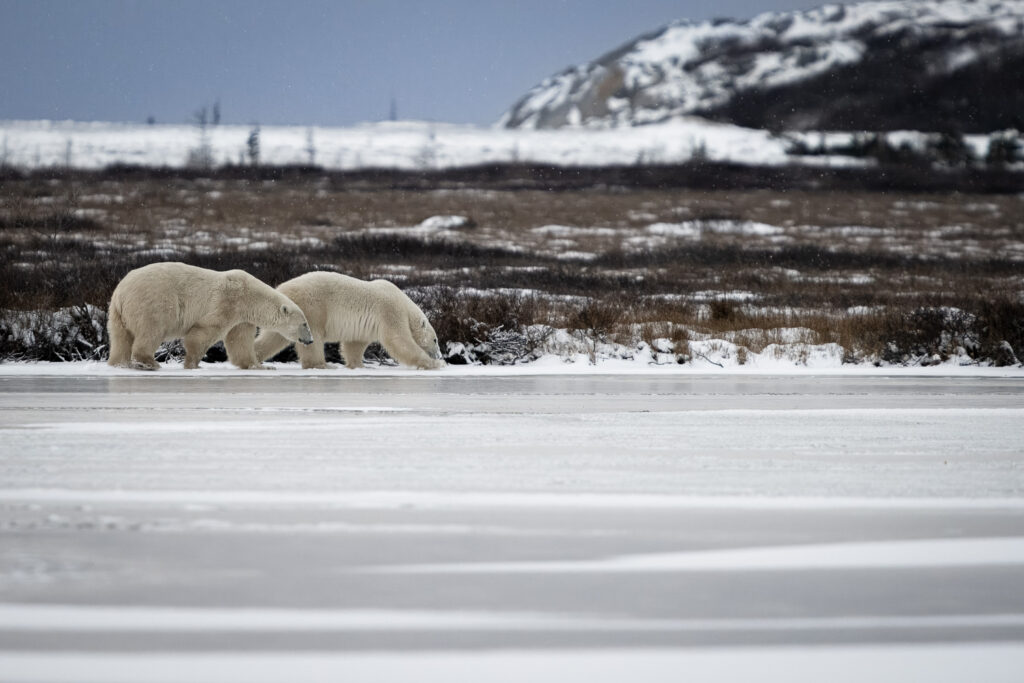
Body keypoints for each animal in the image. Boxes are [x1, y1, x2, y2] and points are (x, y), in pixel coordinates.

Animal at [107, 261, 314, 371]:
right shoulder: (227, 302)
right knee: (151, 330)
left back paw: (119, 363)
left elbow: (240, 341)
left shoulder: (242, 317)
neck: (250, 297)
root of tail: (121, 292)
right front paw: (193, 364)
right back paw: (150, 362)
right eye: (304, 323)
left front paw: (262, 366)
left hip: (117, 313)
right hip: (152, 302)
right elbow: (204, 332)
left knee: (120, 338)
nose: (310, 340)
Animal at [245, 271, 444, 370]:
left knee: (274, 336)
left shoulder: (365, 326)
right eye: (435, 340)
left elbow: (355, 344)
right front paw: (433, 364)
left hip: (287, 317)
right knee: (313, 336)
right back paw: (321, 365)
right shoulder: (390, 311)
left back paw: (254, 356)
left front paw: (359, 365)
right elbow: (398, 340)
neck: (404, 303)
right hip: (312, 307)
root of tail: (282, 289)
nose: (439, 355)